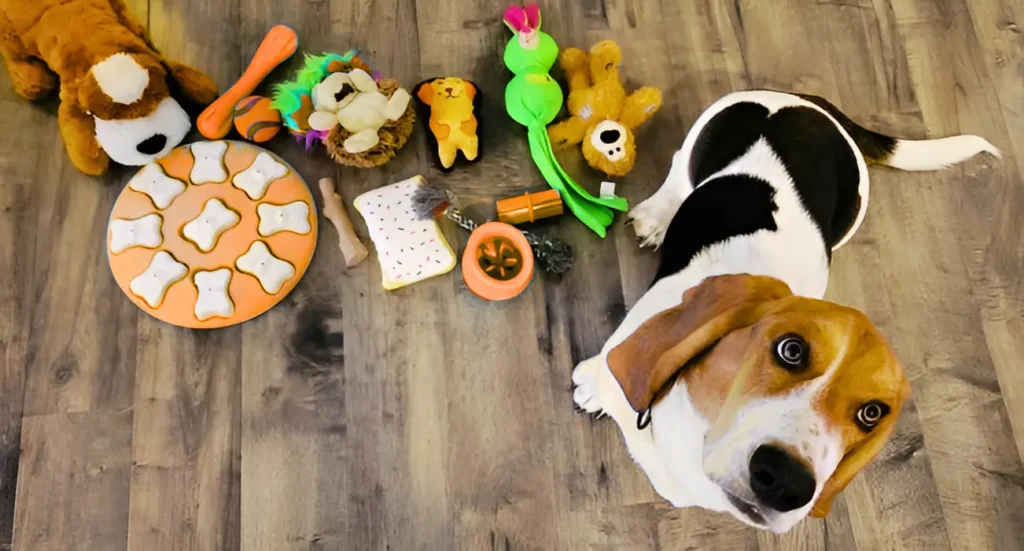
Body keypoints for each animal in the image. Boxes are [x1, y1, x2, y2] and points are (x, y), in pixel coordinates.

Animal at [573, 90, 1003, 532]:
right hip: (703, 135)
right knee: (678, 171)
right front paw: (591, 389)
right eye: (791, 350)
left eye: (872, 413)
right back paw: (656, 217)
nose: (786, 482)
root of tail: (808, 103)